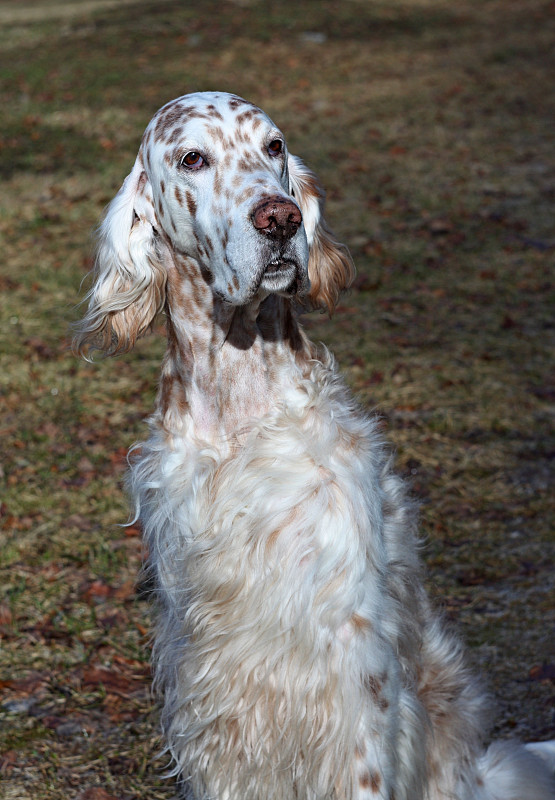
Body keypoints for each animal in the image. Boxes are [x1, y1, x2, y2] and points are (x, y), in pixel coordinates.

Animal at [75, 92, 555, 800]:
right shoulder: (208, 682)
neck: (239, 404)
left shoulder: (355, 668)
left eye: (274, 147)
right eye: (192, 158)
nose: (281, 218)